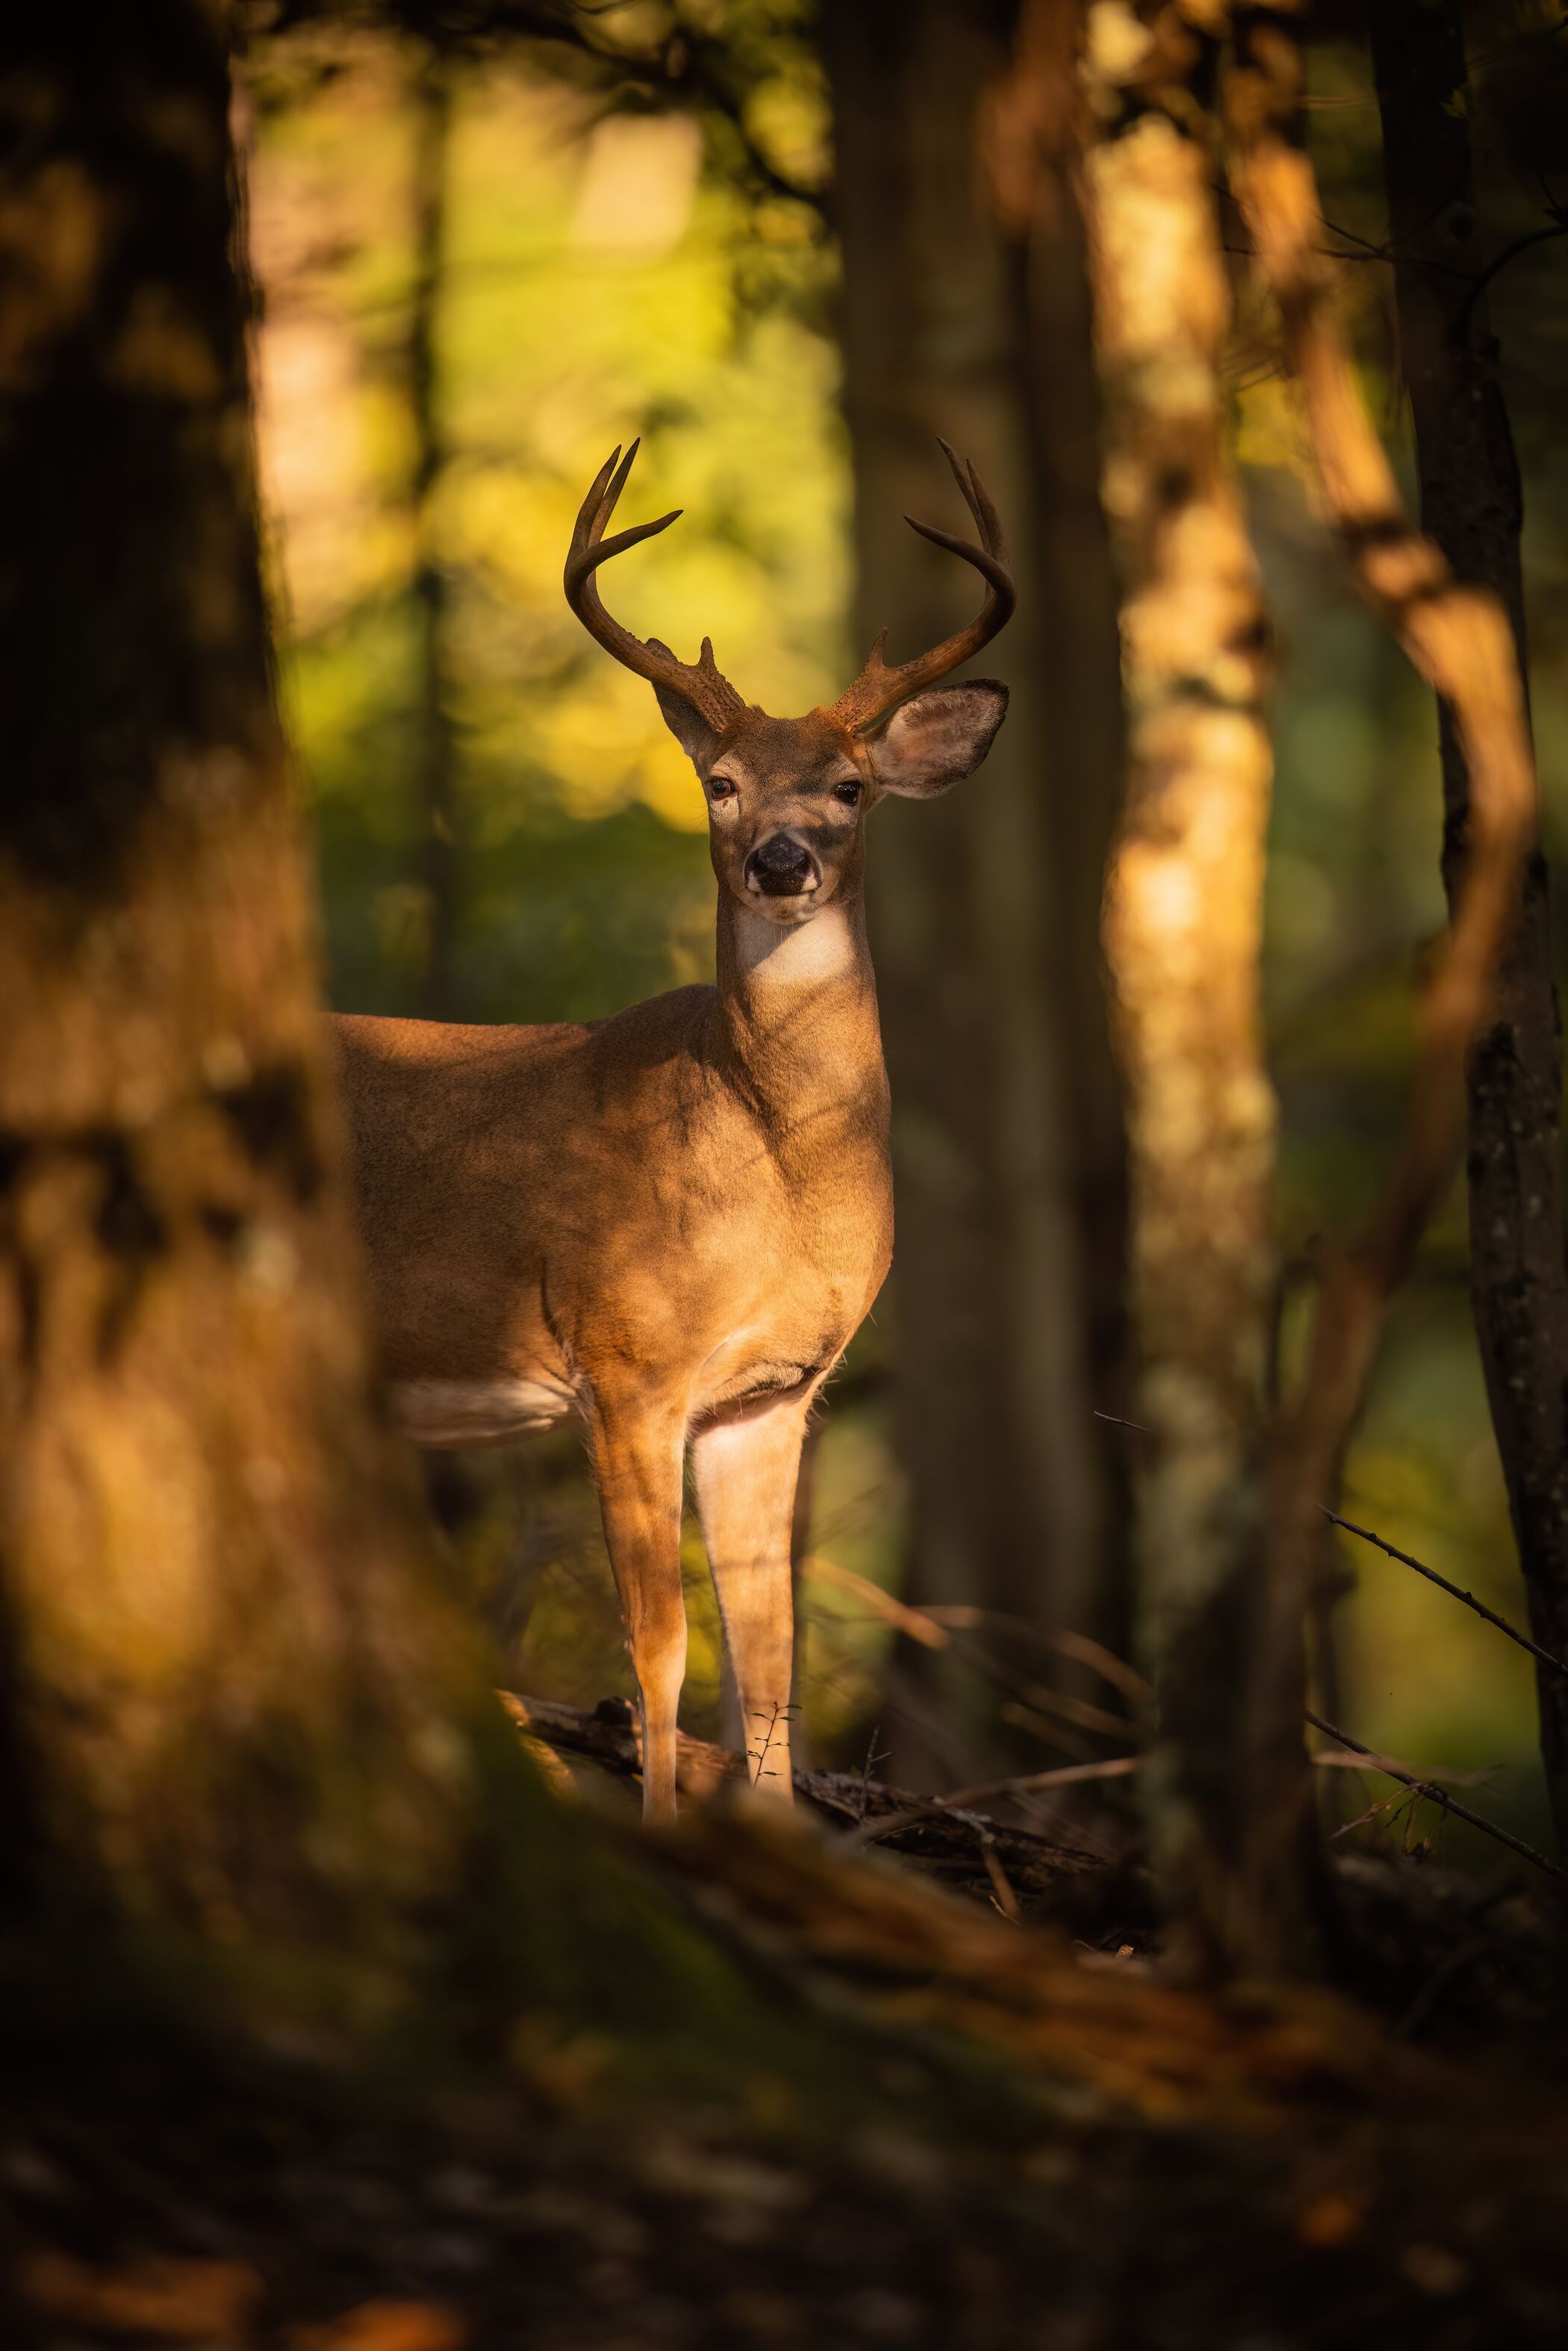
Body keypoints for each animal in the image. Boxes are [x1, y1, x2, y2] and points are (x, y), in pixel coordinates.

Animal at [332, 438, 1013, 1822]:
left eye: (851, 786)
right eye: (720, 784)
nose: (780, 859)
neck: (778, 1173)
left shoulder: (771, 1397)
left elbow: (772, 1671)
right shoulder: (624, 1365)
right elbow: (661, 1653)